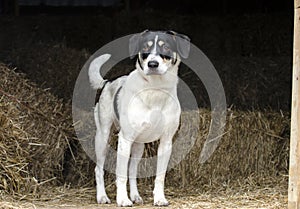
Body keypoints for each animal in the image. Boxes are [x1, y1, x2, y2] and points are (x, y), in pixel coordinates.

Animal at [88, 30, 190, 207]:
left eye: (166, 47)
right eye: (145, 48)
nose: (153, 64)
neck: (155, 89)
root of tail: (107, 82)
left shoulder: (166, 142)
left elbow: (159, 176)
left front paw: (159, 198)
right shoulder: (125, 139)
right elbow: (121, 174)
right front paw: (122, 199)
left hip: (139, 146)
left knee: (133, 170)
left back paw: (135, 196)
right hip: (102, 137)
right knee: (99, 169)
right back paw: (102, 196)